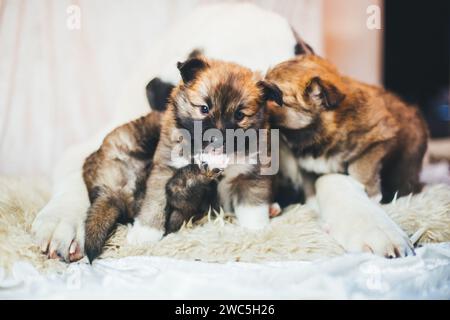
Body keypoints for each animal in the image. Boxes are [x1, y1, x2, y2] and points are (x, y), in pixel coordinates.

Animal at [125, 56, 282, 244]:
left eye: (239, 115)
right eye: (204, 109)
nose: (217, 140)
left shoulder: (251, 174)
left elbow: (253, 207)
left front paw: (255, 230)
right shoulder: (164, 170)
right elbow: (154, 201)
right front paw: (145, 232)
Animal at [268, 52, 428, 202]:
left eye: (276, 98)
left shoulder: (379, 138)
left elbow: (359, 169)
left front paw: (372, 196)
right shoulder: (307, 166)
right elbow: (309, 185)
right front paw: (312, 203)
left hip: (406, 164)